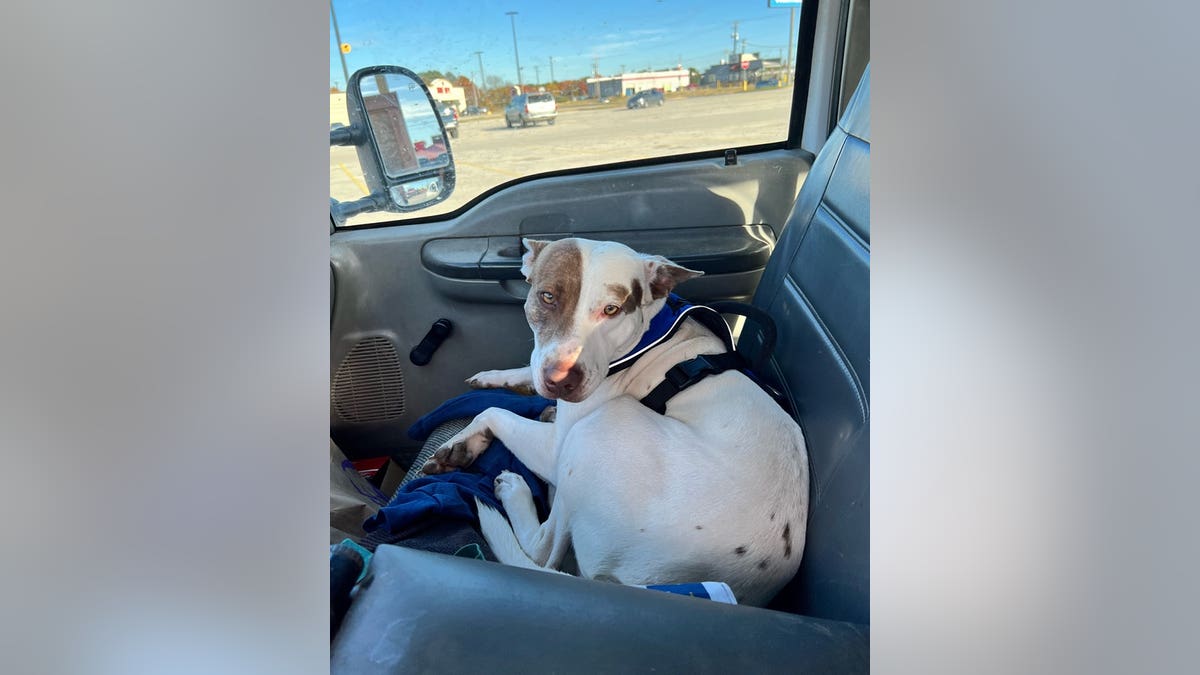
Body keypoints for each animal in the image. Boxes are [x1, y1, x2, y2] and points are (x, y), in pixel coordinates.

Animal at [422, 236, 806, 605]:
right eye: (547, 296)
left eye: (612, 309)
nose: (562, 380)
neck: (647, 337)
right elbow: (526, 371)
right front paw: (496, 379)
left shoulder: (555, 447)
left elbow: (492, 412)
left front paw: (460, 443)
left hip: (598, 430)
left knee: (544, 549)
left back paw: (518, 490)